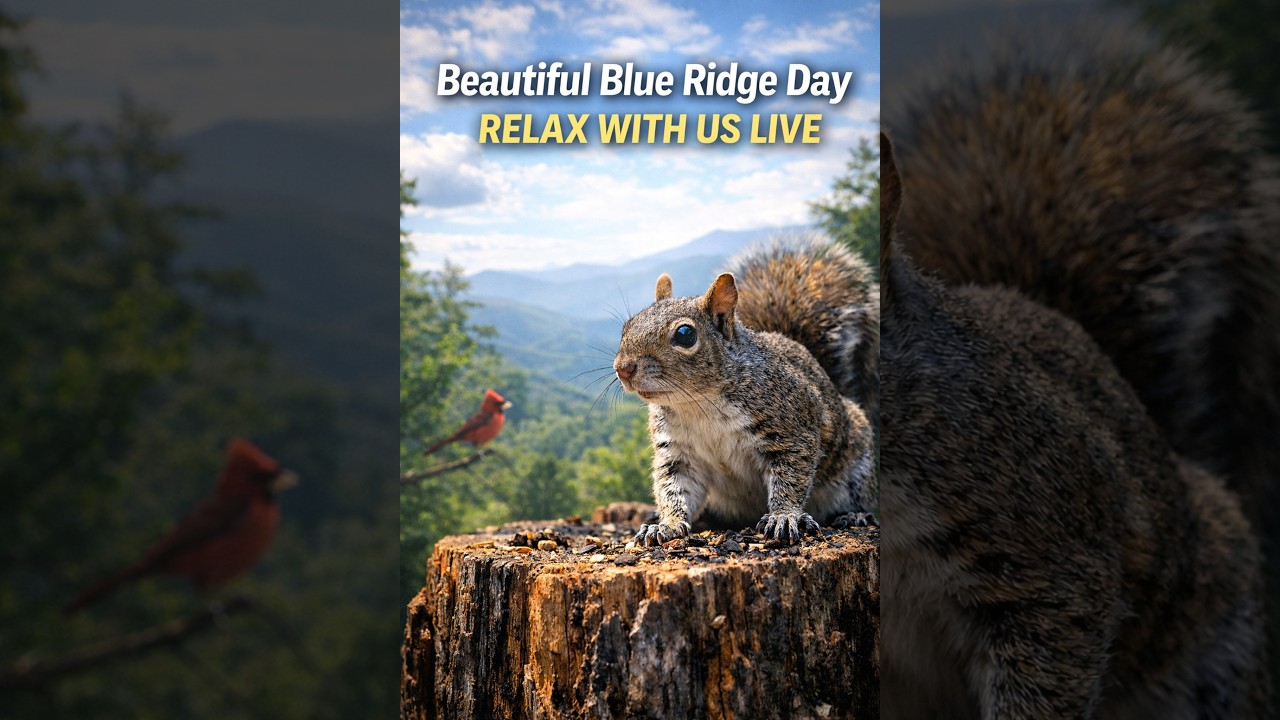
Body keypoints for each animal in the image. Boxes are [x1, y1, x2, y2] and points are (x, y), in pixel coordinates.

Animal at [612, 238, 878, 546]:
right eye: (627, 325)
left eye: (685, 335)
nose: (623, 368)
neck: (698, 403)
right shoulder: (678, 453)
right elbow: (674, 487)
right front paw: (666, 525)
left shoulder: (791, 431)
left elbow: (791, 477)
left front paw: (783, 516)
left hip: (857, 464)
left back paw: (853, 515)